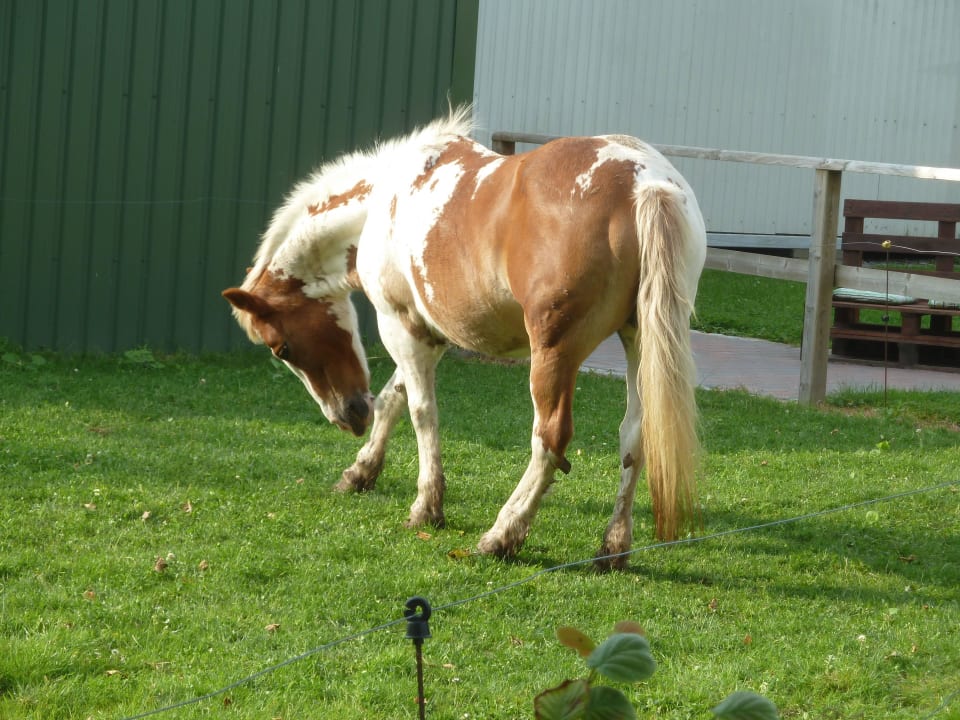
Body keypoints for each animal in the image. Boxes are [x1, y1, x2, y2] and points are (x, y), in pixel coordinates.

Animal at [223, 107, 707, 569]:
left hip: (554, 353)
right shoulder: (426, 333)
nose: (347, 416)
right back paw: (613, 548)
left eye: (282, 347)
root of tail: (643, 184)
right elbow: (394, 397)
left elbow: (421, 412)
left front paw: (426, 507)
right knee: (634, 438)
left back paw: (502, 536)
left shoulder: (399, 325)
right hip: (639, 341)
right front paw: (361, 472)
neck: (384, 199)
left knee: (549, 441)